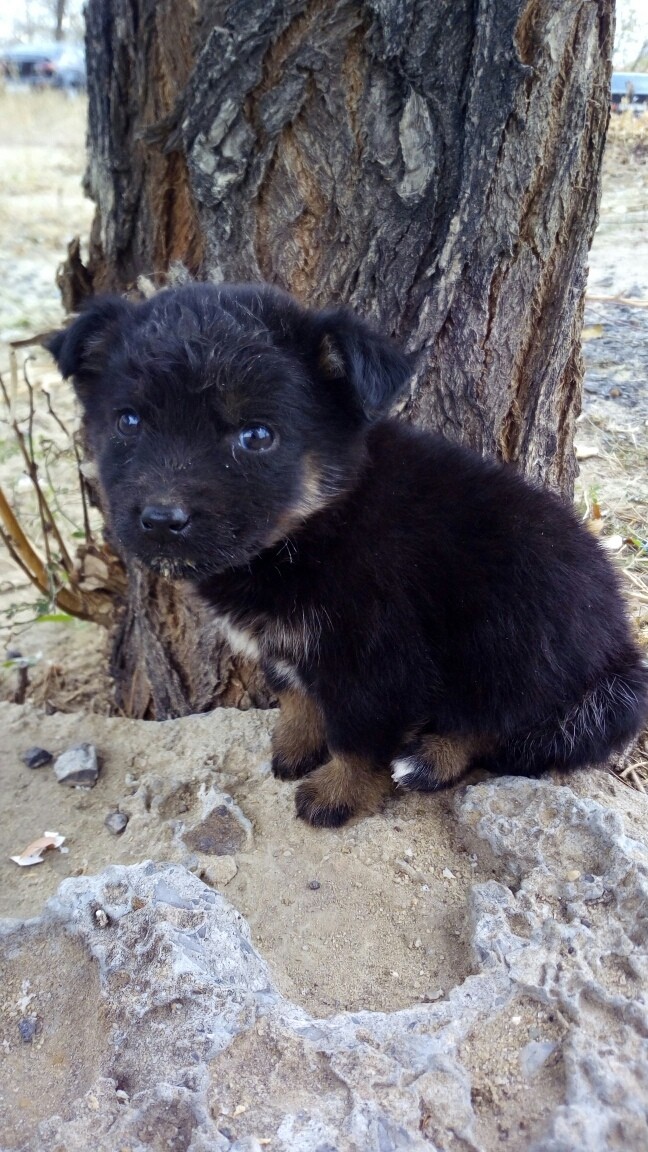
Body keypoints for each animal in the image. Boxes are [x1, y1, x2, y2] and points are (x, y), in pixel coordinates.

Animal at [47, 283, 648, 827]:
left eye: (257, 435)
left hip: (514, 624)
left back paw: (430, 759)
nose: (161, 520)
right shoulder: (290, 644)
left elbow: (358, 741)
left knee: (501, 717)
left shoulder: (377, 662)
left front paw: (336, 795)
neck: (315, 526)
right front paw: (294, 746)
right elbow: (295, 693)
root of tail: (618, 648)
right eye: (128, 421)